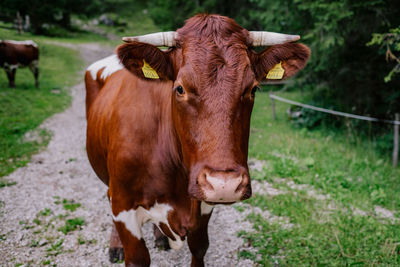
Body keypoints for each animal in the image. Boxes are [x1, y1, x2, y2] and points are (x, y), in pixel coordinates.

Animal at [83, 15, 310, 267]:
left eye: (253, 89)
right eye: (180, 88)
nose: (224, 184)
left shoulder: (203, 205)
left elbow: (199, 247)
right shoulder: (124, 203)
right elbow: (137, 258)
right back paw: (116, 246)